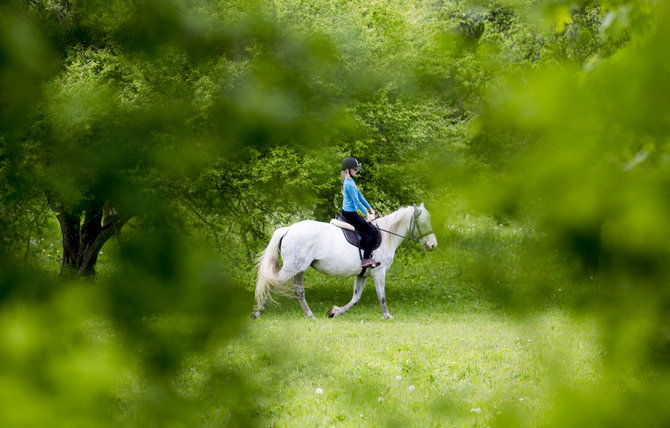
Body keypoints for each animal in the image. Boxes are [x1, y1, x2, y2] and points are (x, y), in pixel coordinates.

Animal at [255, 203, 438, 318]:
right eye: (424, 223)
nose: (433, 245)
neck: (386, 236)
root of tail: (288, 229)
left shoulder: (362, 275)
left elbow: (355, 299)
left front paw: (334, 312)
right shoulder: (379, 273)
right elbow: (382, 297)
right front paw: (387, 316)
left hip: (298, 268)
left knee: (299, 292)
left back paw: (310, 315)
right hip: (291, 268)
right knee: (271, 282)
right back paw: (257, 312)